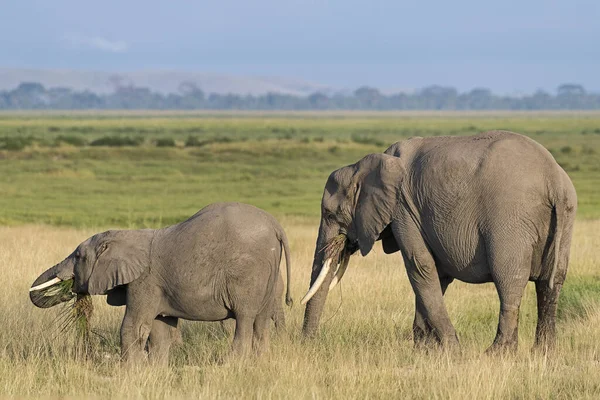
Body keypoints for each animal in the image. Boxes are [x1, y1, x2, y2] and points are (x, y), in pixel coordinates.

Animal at [30, 203, 292, 362]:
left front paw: (131, 372)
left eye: (78, 256)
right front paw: (154, 369)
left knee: (245, 318)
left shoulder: (144, 281)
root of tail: (276, 225)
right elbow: (160, 330)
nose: (67, 291)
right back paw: (259, 362)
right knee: (260, 322)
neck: (127, 235)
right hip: (268, 275)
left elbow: (134, 327)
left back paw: (232, 363)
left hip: (247, 272)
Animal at [300, 130, 576, 352]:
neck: (367, 164)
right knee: (551, 283)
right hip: (566, 217)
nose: (309, 344)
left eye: (329, 214)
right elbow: (437, 274)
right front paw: (425, 350)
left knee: (509, 280)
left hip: (510, 218)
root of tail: (554, 180)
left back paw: (498, 354)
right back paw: (544, 353)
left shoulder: (403, 210)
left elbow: (420, 267)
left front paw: (452, 350)